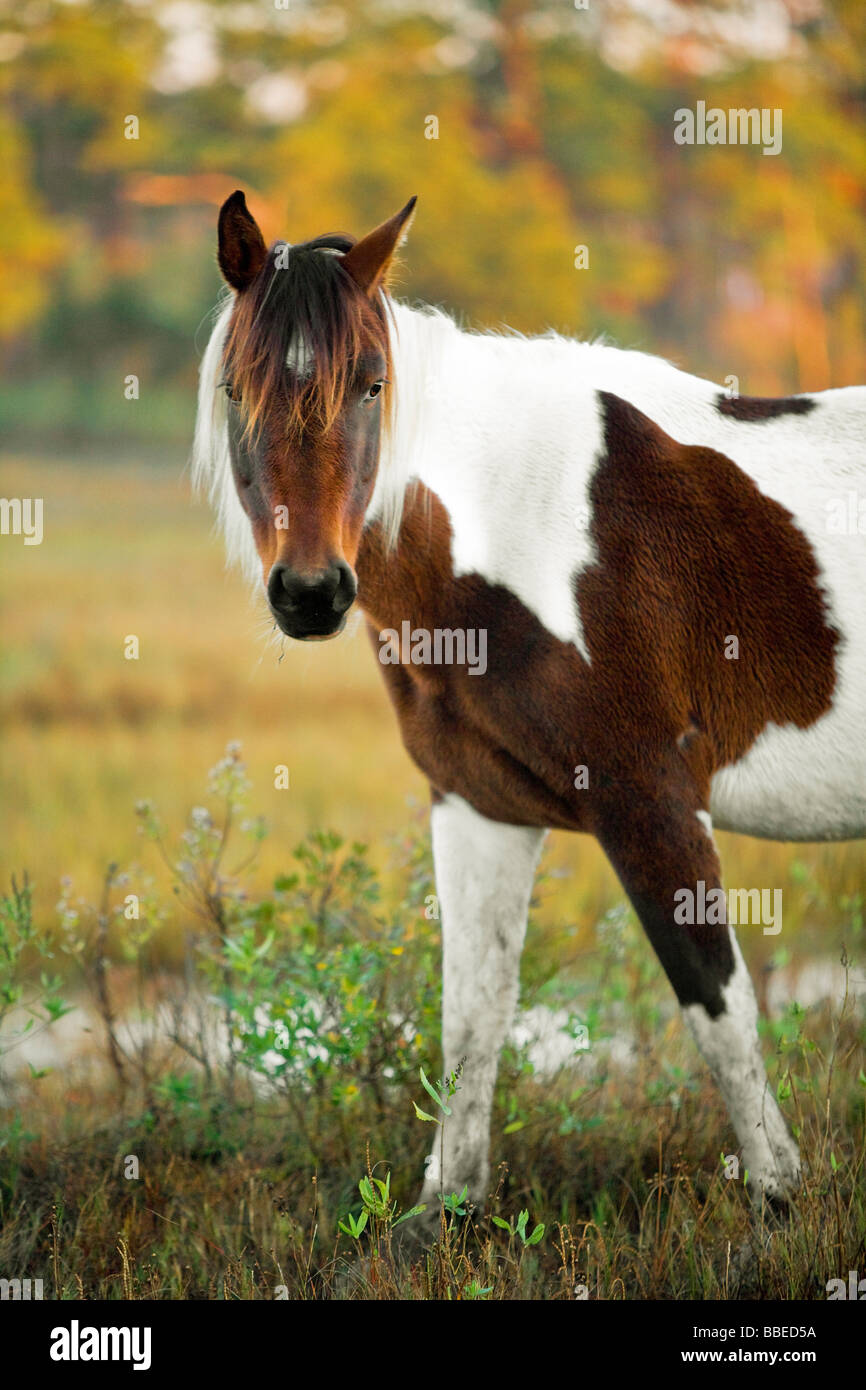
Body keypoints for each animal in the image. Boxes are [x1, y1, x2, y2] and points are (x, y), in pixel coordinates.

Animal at [195, 193, 866, 1217]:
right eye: (237, 390)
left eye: (372, 386)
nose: (311, 593)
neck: (523, 527)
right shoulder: (480, 807)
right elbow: (472, 1016)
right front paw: (443, 1211)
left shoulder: (650, 799)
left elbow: (718, 1005)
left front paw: (780, 1203)